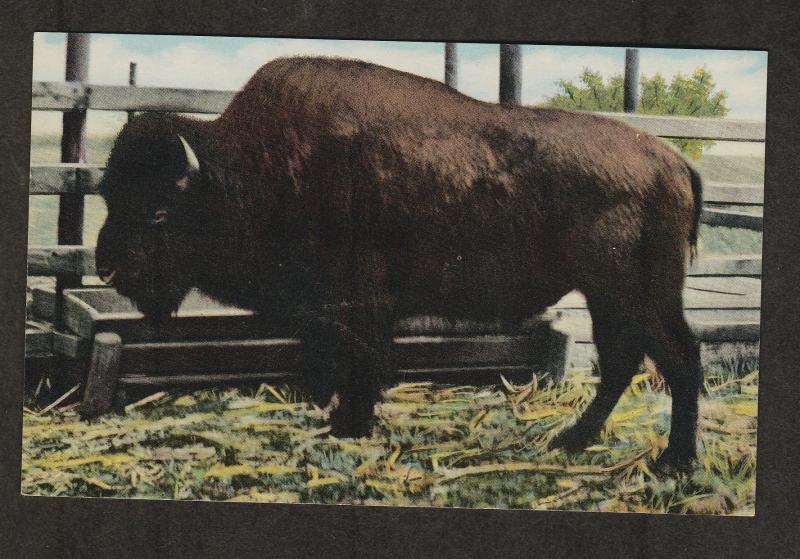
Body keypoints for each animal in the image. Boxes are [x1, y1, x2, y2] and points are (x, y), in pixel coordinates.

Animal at [97, 57, 704, 472]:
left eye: (158, 212)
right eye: (108, 195)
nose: (106, 268)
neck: (253, 168)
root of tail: (670, 160)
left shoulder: (361, 301)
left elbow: (360, 361)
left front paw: (348, 427)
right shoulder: (330, 309)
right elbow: (330, 359)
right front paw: (339, 420)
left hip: (632, 294)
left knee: (675, 358)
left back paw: (672, 462)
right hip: (612, 297)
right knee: (625, 361)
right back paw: (573, 440)